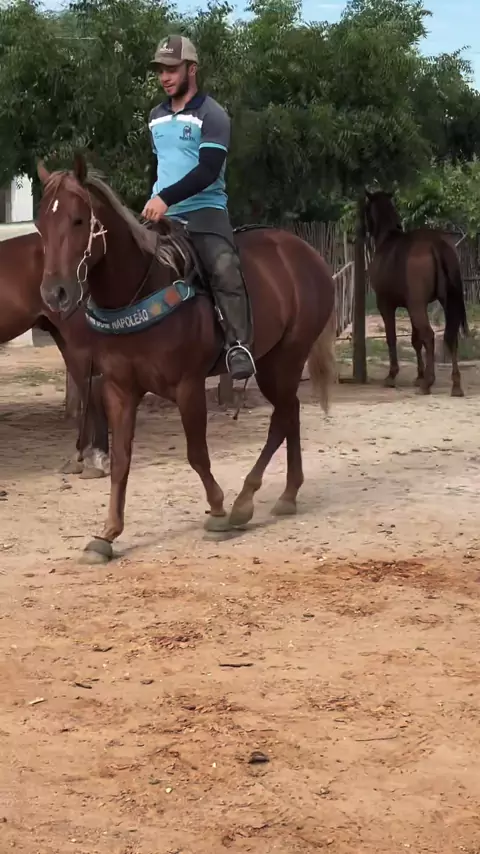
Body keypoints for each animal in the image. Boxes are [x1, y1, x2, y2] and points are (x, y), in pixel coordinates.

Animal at [36, 154, 337, 564]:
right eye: (40, 224)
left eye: (78, 220)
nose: (56, 293)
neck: (139, 290)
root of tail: (307, 254)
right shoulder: (119, 390)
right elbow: (121, 460)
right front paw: (107, 534)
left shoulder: (188, 387)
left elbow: (197, 454)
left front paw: (218, 511)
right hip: (275, 361)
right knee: (289, 414)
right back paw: (288, 495)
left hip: (286, 358)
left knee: (282, 417)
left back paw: (245, 501)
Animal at [364, 189, 468, 397]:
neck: (388, 239)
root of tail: (437, 243)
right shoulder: (410, 305)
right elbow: (415, 340)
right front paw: (419, 375)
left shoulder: (386, 305)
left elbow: (392, 337)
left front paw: (392, 375)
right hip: (444, 301)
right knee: (450, 337)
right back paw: (455, 385)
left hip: (417, 305)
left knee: (429, 335)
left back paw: (428, 382)